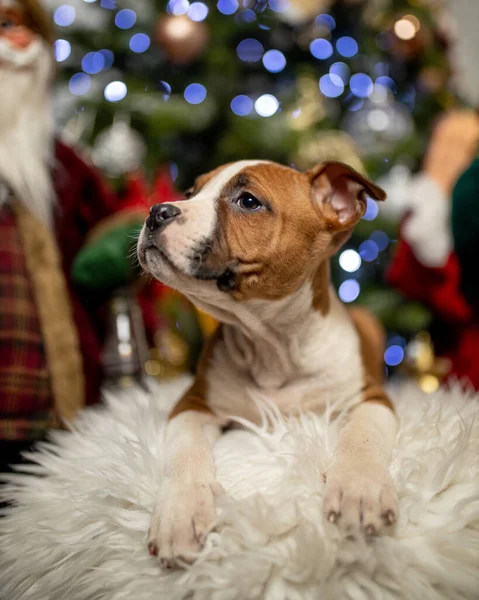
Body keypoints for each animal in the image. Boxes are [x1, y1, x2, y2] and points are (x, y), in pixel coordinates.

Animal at [138, 158, 398, 568]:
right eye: (191, 192)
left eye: (248, 201)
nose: (157, 211)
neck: (272, 346)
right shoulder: (193, 404)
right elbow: (185, 451)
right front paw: (181, 510)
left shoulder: (371, 398)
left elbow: (362, 435)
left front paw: (360, 488)